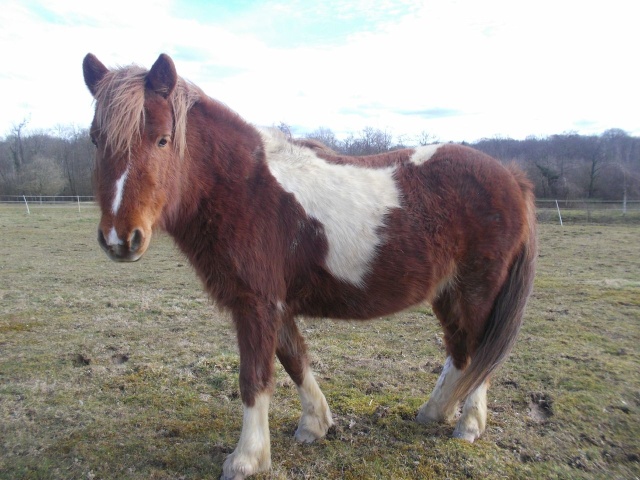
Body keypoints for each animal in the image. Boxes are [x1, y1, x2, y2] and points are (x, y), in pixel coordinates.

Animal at [82, 53, 536, 480]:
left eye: (162, 140)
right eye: (95, 139)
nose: (120, 238)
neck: (245, 188)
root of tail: (511, 178)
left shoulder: (256, 304)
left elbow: (255, 378)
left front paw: (246, 459)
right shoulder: (274, 305)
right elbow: (294, 359)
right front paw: (314, 425)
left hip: (477, 291)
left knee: (479, 351)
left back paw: (468, 426)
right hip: (446, 291)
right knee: (460, 351)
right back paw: (434, 412)